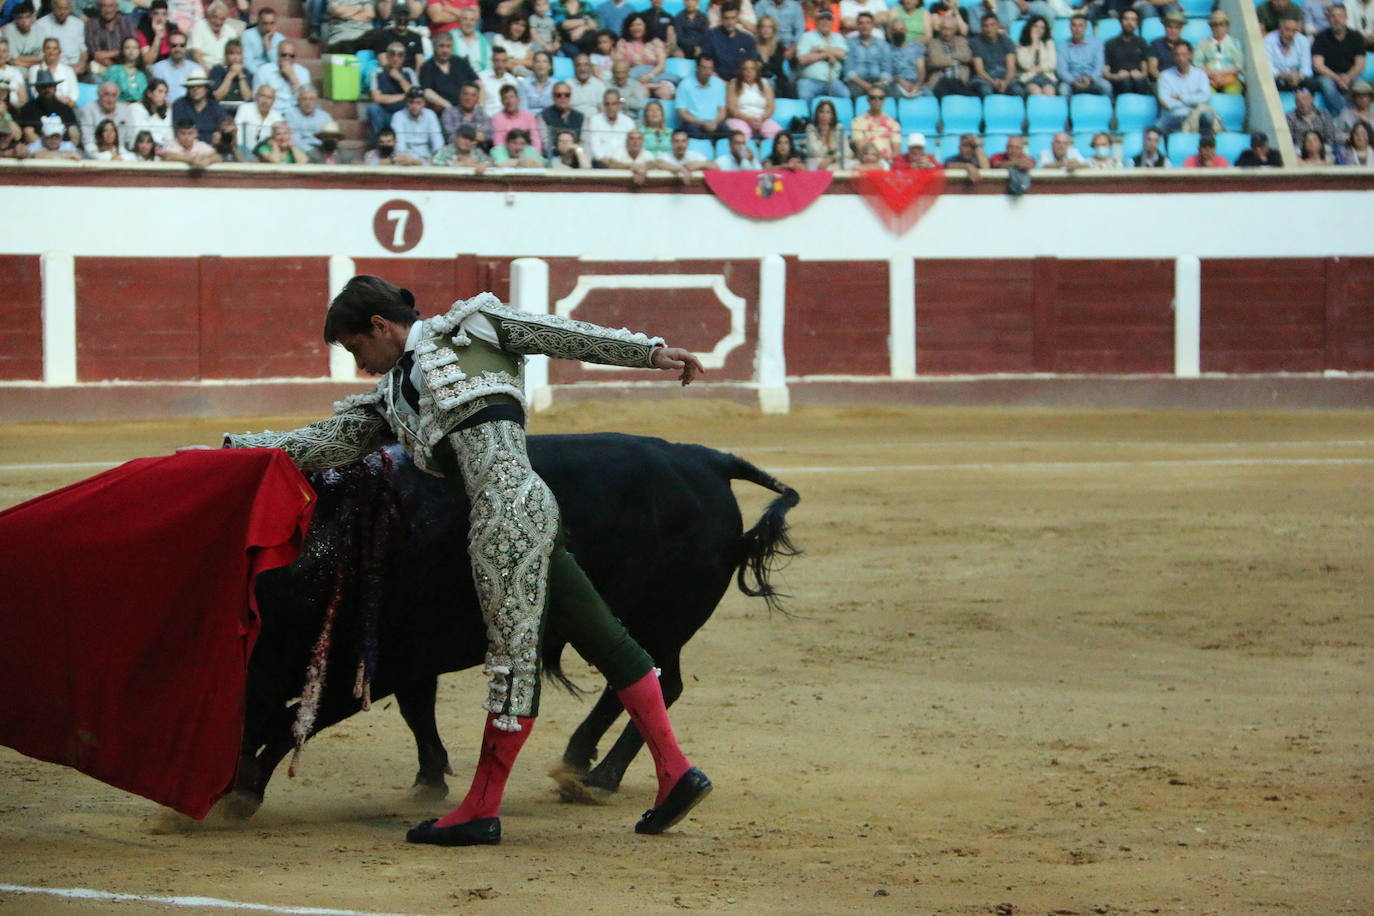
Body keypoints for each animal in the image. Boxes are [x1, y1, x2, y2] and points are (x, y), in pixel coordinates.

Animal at [226, 433, 802, 818]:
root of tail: (708, 459)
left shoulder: (381, 661)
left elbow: (296, 718)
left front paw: (244, 789)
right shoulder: (407, 662)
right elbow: (415, 711)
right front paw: (429, 780)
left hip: (659, 621)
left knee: (659, 680)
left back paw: (599, 778)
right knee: (641, 679)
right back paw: (579, 763)